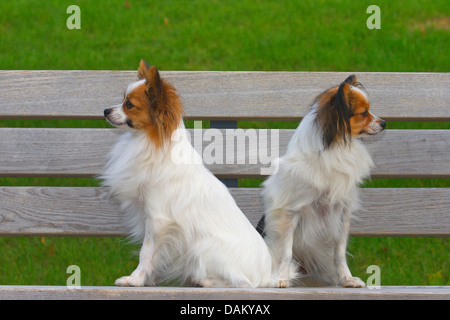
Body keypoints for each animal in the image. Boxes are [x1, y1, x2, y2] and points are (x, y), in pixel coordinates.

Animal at [101, 60, 270, 288]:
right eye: (122, 99)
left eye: (129, 105)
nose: (105, 110)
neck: (145, 141)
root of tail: (268, 275)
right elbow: (156, 255)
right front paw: (149, 278)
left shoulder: (157, 219)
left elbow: (146, 252)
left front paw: (135, 279)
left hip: (204, 246)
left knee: (242, 283)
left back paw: (203, 280)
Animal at [258, 75, 384, 288]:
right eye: (364, 113)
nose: (384, 123)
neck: (335, 146)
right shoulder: (290, 212)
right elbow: (286, 252)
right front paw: (282, 278)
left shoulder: (341, 213)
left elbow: (339, 253)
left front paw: (347, 279)